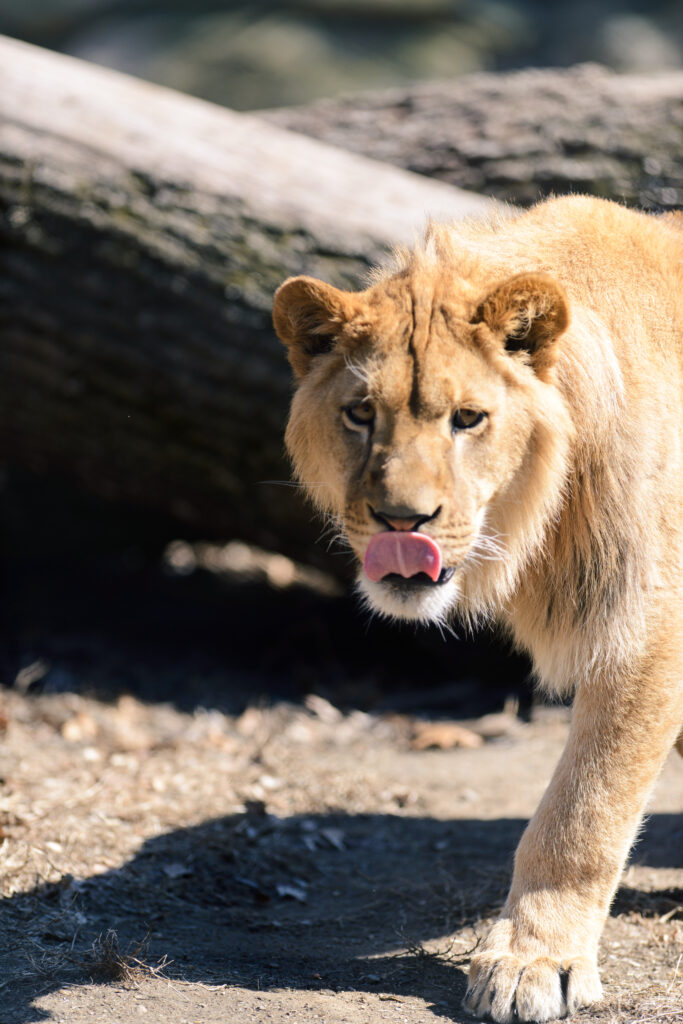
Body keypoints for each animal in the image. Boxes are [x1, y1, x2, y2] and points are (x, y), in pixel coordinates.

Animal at [272, 195, 683, 1023]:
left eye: (467, 418)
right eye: (359, 413)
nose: (401, 520)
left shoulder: (645, 627)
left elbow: (583, 811)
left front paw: (534, 959)